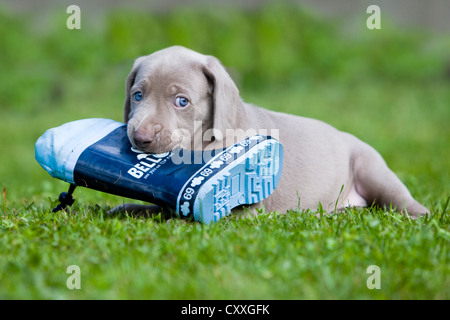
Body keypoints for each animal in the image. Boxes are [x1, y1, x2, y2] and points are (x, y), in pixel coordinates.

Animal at [113, 45, 428, 218]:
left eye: (182, 102)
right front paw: (124, 210)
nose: (140, 138)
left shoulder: (250, 205)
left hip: (372, 168)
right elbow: (152, 208)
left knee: (402, 201)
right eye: (137, 96)